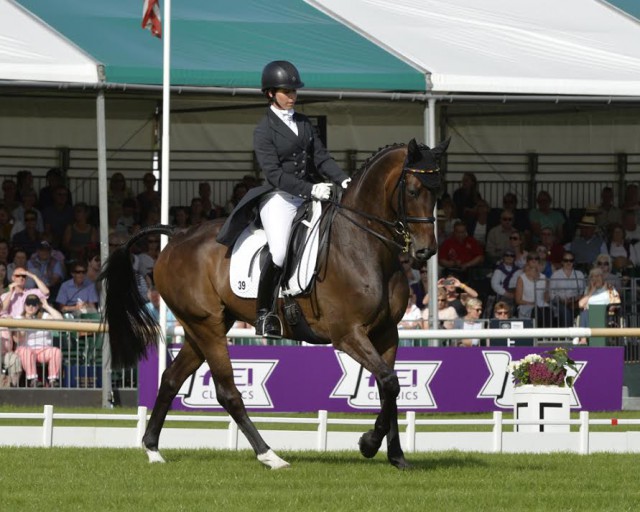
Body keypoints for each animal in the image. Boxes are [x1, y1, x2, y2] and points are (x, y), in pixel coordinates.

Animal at [101, 138, 450, 470]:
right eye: (414, 190)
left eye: (439, 192)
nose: (425, 251)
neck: (365, 246)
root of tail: (177, 234)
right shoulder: (348, 334)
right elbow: (388, 382)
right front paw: (368, 443)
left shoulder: (387, 332)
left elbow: (389, 387)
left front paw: (396, 455)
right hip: (207, 326)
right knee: (227, 392)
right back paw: (269, 455)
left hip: (201, 327)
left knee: (172, 378)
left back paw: (152, 449)